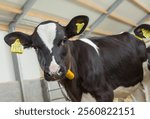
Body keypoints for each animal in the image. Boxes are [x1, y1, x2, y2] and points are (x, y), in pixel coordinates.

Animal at [3, 15, 150, 101]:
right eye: (35, 47)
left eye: (64, 39)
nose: (54, 71)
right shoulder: (73, 99)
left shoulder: (105, 94)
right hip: (134, 87)